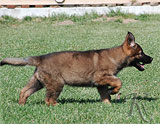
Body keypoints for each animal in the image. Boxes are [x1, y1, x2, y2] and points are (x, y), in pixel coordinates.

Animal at [0, 32, 152, 105]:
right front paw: (113, 91)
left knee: (24, 91)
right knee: (48, 100)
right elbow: (119, 81)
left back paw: (21, 105)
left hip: (38, 81)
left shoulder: (100, 83)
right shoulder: (100, 78)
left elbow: (104, 94)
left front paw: (107, 103)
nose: (151, 59)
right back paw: (56, 106)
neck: (116, 56)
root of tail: (40, 58)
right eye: (141, 53)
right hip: (56, 83)